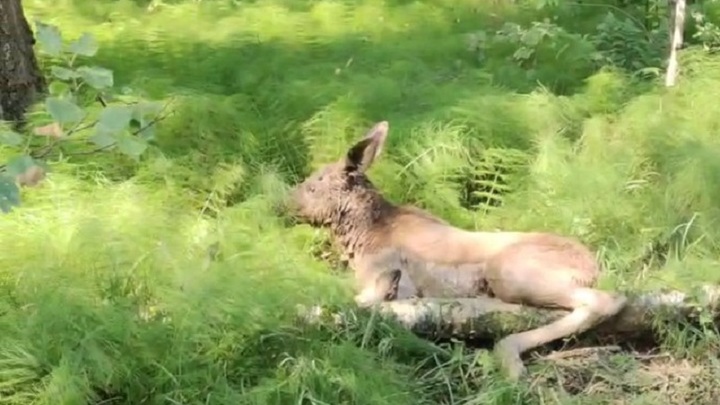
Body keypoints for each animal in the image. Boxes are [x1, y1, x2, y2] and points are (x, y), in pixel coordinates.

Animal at [284, 120, 628, 378]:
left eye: (313, 185)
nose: (283, 203)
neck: (359, 237)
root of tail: (593, 267)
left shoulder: (387, 278)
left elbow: (345, 301)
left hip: (507, 271)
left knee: (605, 299)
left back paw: (509, 357)